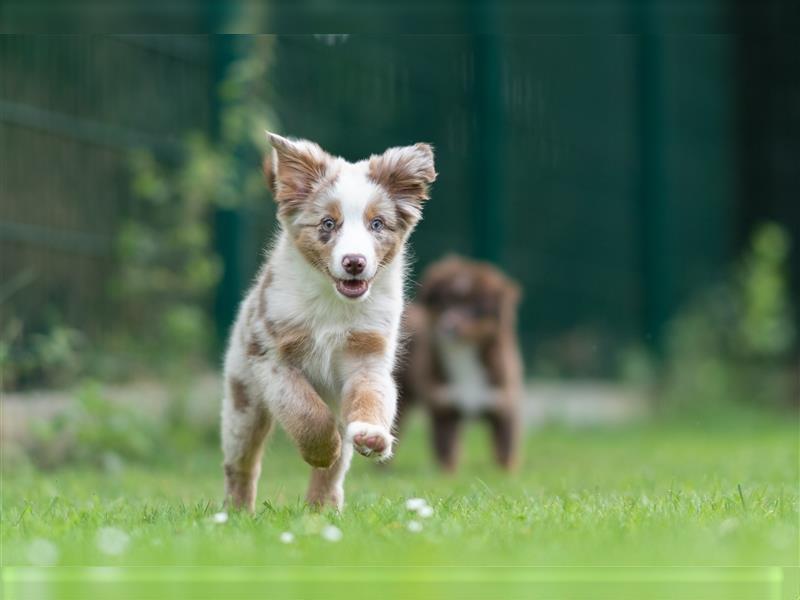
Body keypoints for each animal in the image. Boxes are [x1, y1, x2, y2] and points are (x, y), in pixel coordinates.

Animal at [222, 132, 438, 510]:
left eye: (376, 224)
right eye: (328, 224)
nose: (354, 262)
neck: (333, 305)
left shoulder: (368, 355)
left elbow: (372, 397)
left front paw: (372, 435)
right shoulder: (272, 359)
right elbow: (305, 409)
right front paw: (322, 450)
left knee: (334, 471)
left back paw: (321, 510)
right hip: (242, 399)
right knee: (242, 464)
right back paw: (236, 513)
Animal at [396, 255, 524, 472]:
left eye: (474, 308)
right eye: (444, 303)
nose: (449, 326)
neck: (464, 353)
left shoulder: (503, 405)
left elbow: (504, 454)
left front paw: (507, 474)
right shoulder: (444, 407)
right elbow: (447, 453)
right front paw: (447, 474)